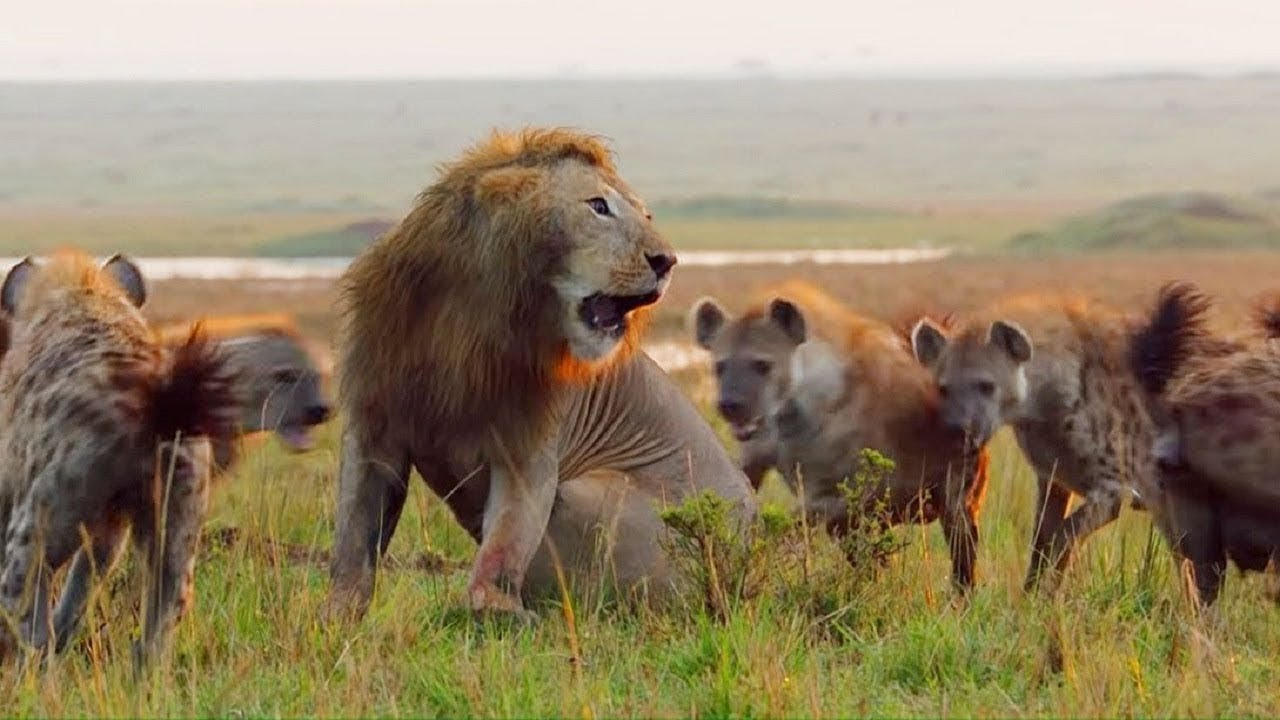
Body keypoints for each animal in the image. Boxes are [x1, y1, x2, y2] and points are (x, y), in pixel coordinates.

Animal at [327, 126, 757, 614]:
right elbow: (354, 544)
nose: (666, 261)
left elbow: (506, 542)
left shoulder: (529, 448)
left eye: (646, 214)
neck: (467, 318)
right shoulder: (373, 427)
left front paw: (495, 608)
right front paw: (335, 618)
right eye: (599, 207)